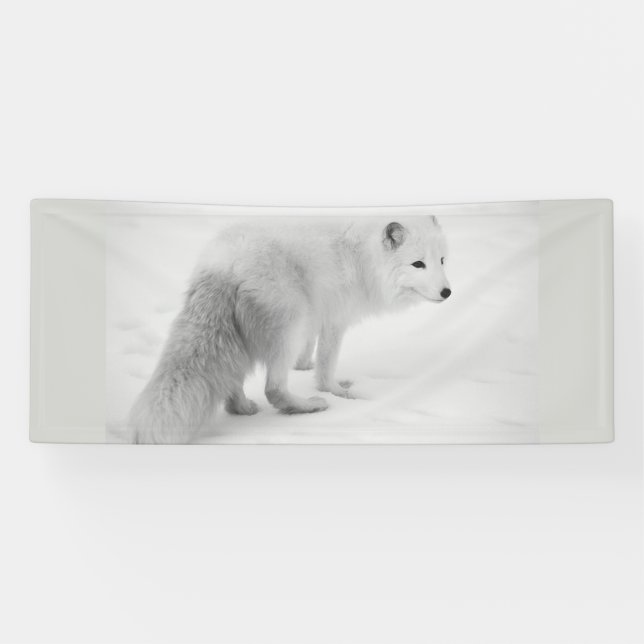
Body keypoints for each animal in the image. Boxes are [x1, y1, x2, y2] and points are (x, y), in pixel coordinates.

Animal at [129, 215, 451, 443]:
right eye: (418, 264)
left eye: (442, 260)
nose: (447, 292)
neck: (363, 256)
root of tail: (224, 263)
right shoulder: (334, 319)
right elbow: (326, 366)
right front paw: (335, 391)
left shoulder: (315, 314)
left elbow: (310, 349)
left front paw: (303, 366)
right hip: (289, 325)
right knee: (273, 389)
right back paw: (308, 406)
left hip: (244, 336)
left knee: (233, 381)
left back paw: (242, 408)